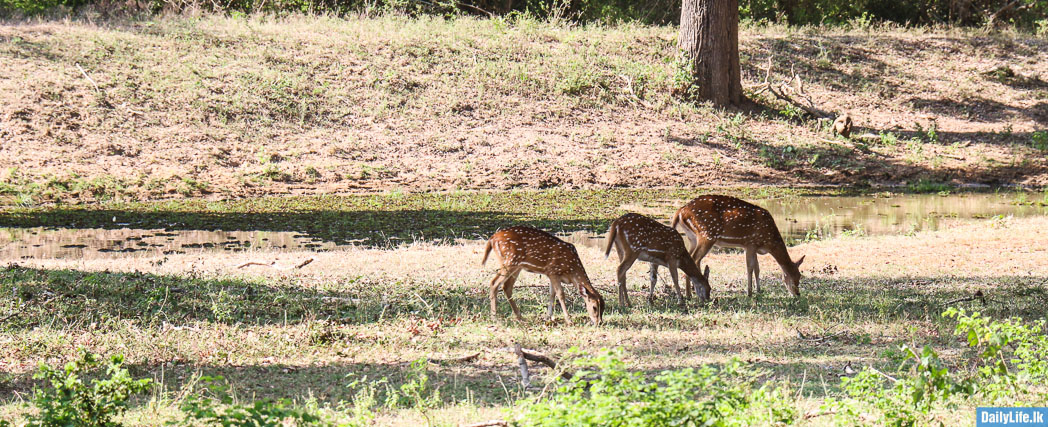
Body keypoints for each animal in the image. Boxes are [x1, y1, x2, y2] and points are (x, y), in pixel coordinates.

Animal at [672, 195, 805, 297]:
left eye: (800, 276)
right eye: (792, 278)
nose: (797, 294)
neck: (769, 242)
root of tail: (680, 211)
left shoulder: (752, 247)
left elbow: (757, 268)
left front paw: (759, 290)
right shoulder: (751, 243)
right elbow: (750, 267)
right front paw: (749, 293)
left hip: (692, 237)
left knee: (691, 258)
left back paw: (693, 291)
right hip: (707, 234)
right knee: (694, 259)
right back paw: (690, 293)